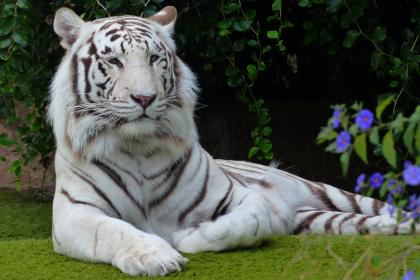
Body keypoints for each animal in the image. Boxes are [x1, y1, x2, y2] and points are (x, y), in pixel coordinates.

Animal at [49, 5, 416, 276]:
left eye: (154, 58)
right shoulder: (73, 213)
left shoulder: (238, 195)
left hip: (326, 190)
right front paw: (156, 255)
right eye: (114, 61)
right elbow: (113, 230)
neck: (139, 147)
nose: (144, 98)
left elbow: (250, 221)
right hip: (316, 219)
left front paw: (187, 238)